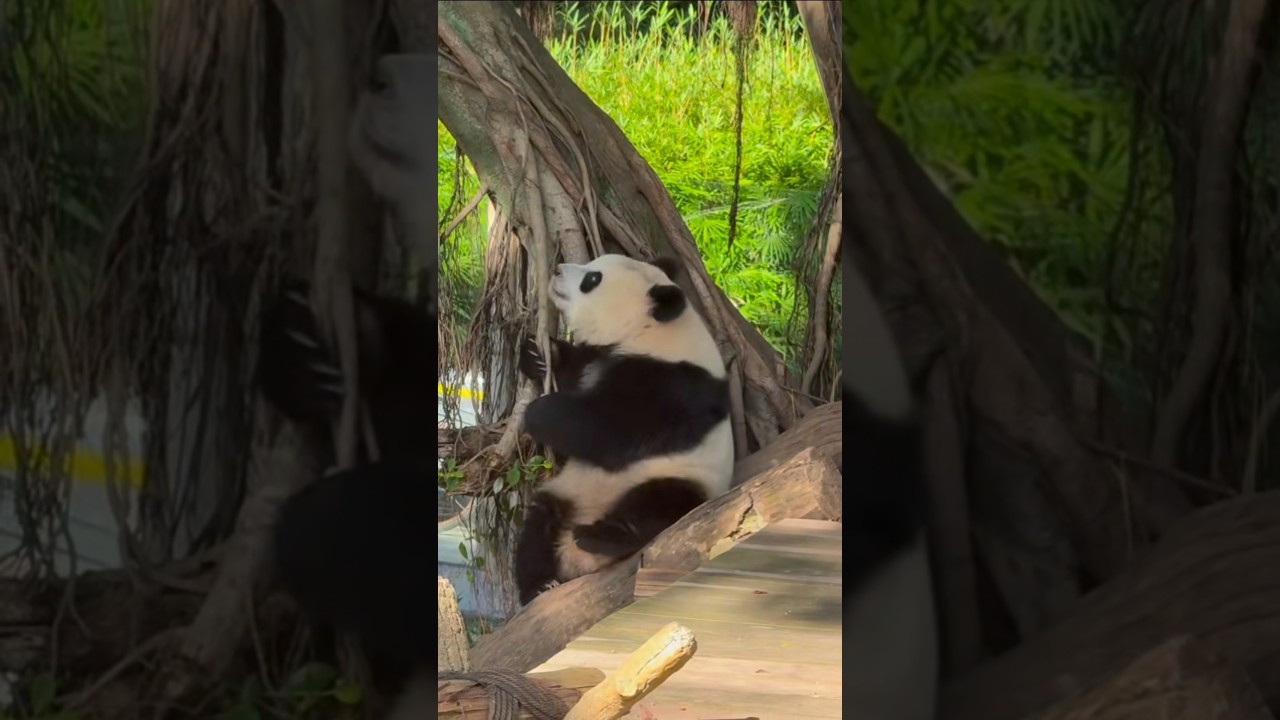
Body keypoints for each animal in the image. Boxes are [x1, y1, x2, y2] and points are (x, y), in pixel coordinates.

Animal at [510, 254, 735, 605]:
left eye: (592, 279)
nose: (557, 269)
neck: (652, 332)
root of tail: (580, 563)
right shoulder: (603, 358)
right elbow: (575, 375)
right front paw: (538, 354)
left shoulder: (671, 386)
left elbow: (610, 432)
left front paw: (538, 412)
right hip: (567, 493)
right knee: (538, 524)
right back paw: (540, 585)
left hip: (686, 480)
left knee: (660, 502)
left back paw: (600, 536)